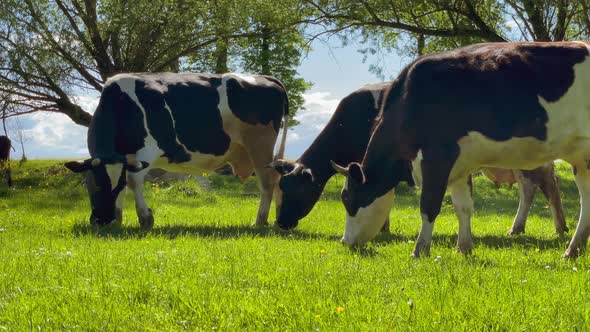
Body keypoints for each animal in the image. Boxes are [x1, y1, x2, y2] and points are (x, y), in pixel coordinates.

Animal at [65, 72, 290, 228]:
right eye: (93, 184)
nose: (102, 221)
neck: (122, 104)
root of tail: (264, 77)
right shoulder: (125, 158)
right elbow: (128, 179)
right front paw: (119, 219)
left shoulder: (147, 150)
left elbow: (133, 181)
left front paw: (145, 218)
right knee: (278, 177)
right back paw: (277, 217)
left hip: (259, 145)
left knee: (267, 183)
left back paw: (259, 221)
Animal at [272, 84, 568, 237]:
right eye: (280, 187)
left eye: (295, 190)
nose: (281, 223)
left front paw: (382, 228)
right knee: (538, 188)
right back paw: (542, 227)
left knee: (541, 188)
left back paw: (537, 227)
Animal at [332, 41, 590, 258]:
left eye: (347, 198)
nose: (344, 242)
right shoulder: (460, 165)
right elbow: (463, 207)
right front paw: (463, 249)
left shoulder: (437, 157)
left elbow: (429, 205)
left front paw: (419, 250)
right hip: (581, 160)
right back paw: (573, 250)